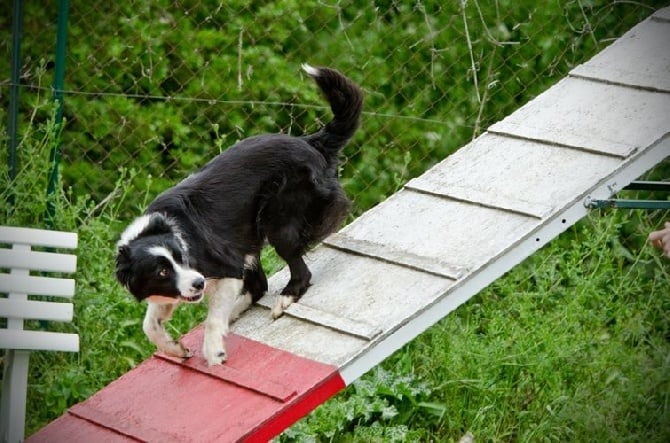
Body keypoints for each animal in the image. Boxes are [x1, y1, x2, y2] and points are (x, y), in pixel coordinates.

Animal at [118, 65, 364, 364]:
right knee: (259, 285)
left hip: (278, 220)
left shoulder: (228, 267)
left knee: (298, 273)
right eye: (163, 271)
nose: (199, 283)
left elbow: (213, 318)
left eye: (182, 259)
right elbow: (150, 324)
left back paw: (285, 298)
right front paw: (174, 348)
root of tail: (311, 141)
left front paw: (213, 352)